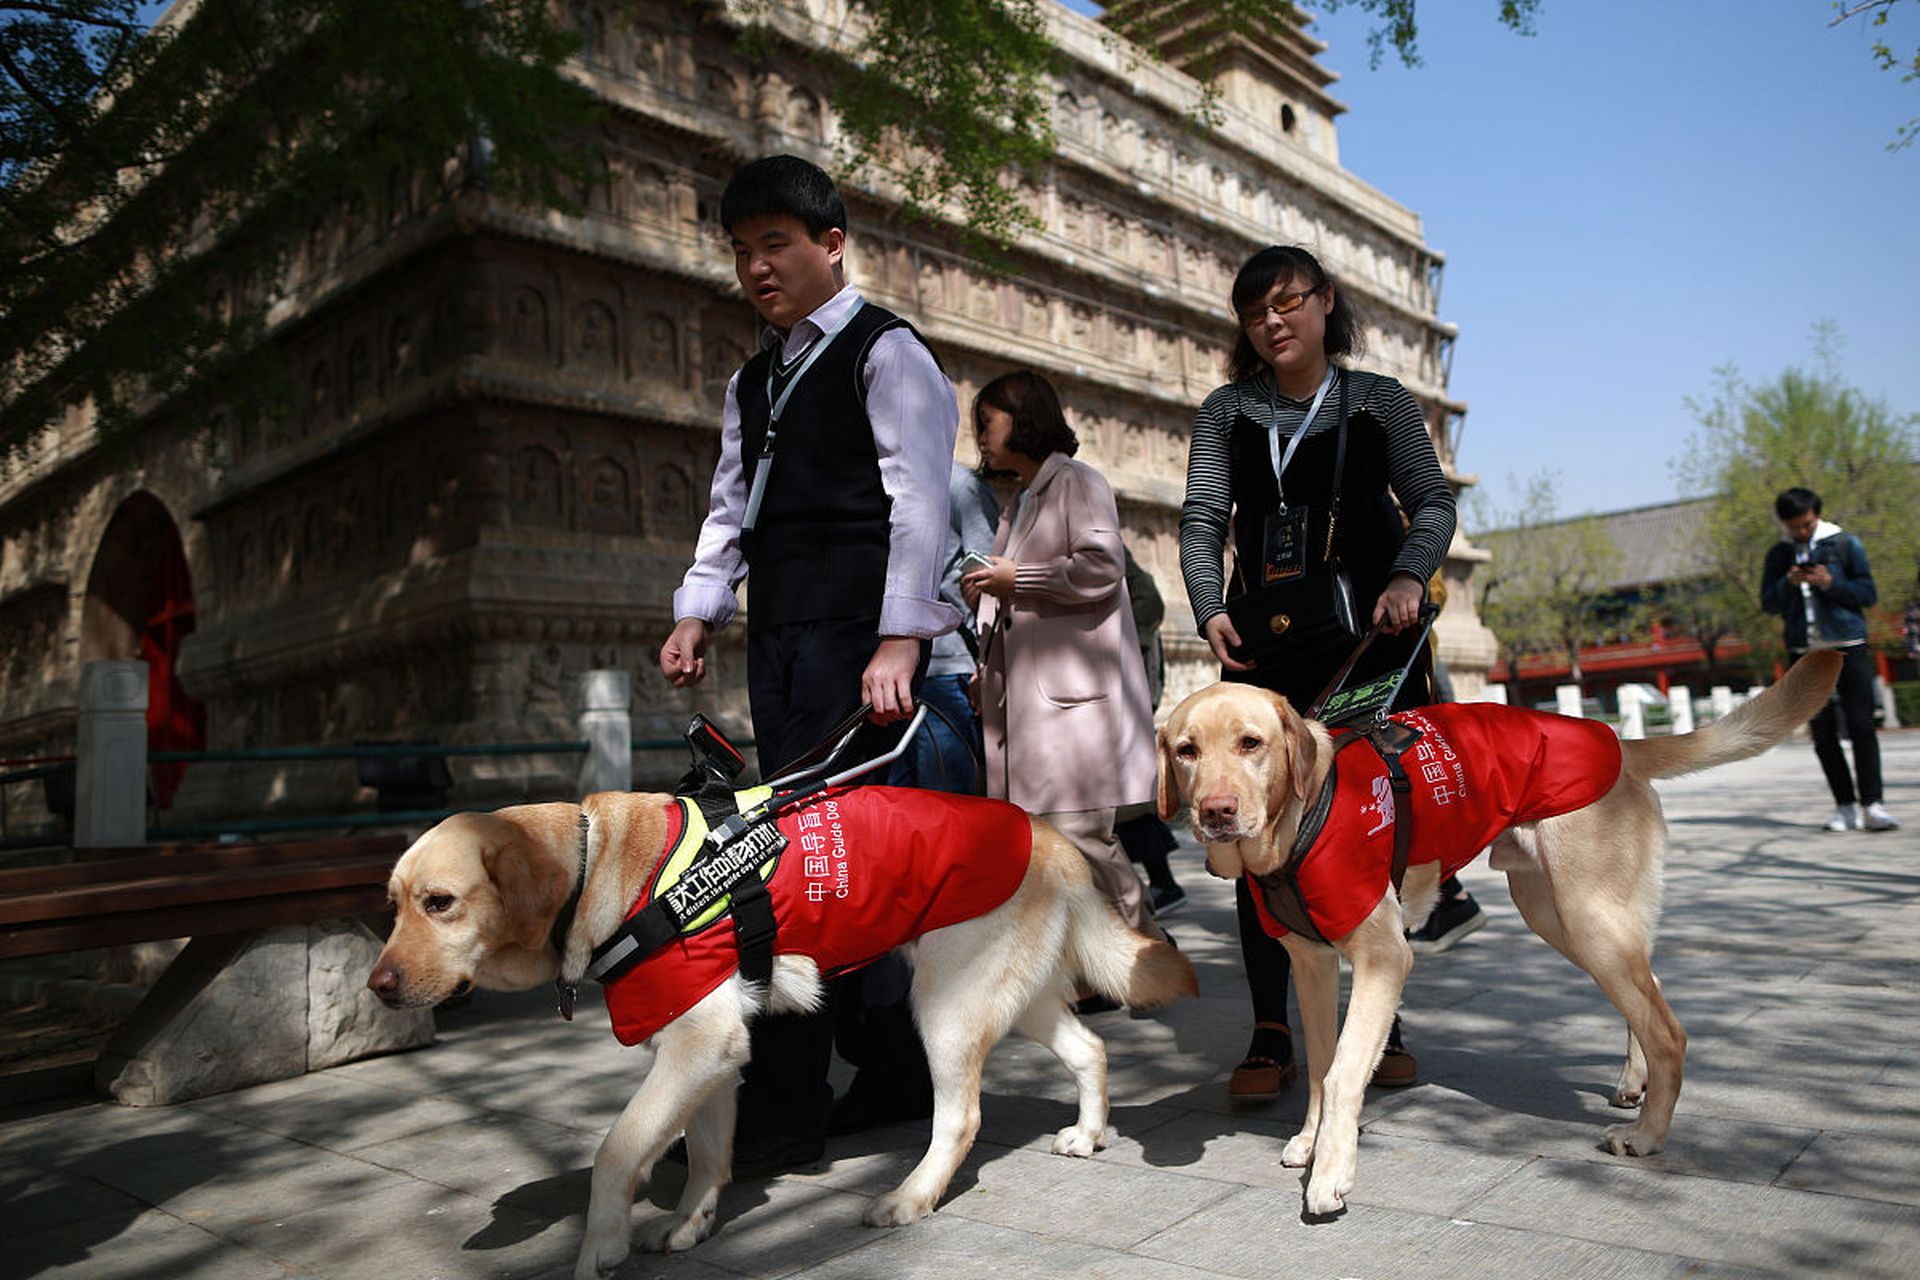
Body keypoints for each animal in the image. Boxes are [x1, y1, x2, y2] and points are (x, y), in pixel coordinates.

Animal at [366, 786, 1190, 1274]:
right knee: (1090, 1047)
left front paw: (601, 1245)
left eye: (440, 903)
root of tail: (1048, 836)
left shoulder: (698, 1042)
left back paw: (910, 1197)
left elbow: (617, 1151)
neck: (597, 866)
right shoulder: (712, 1053)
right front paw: (691, 1224)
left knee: (960, 1118)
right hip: (1014, 996)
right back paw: (1088, 1133)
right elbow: (705, 1152)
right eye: (394, 905)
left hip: (948, 1005)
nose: (379, 988)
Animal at [1152, 656, 1843, 1220]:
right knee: (1649, 990)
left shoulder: (1383, 958)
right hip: (1560, 916)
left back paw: (1649, 1135)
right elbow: (1322, 1067)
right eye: (1186, 751)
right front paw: (1311, 1140)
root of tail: (1618, 740)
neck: (1294, 825)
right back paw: (1634, 1082)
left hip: (1588, 916)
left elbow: (1348, 1069)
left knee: (1668, 1027)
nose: (1215, 812)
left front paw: (1331, 1174)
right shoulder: (1311, 963)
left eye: (1251, 743)